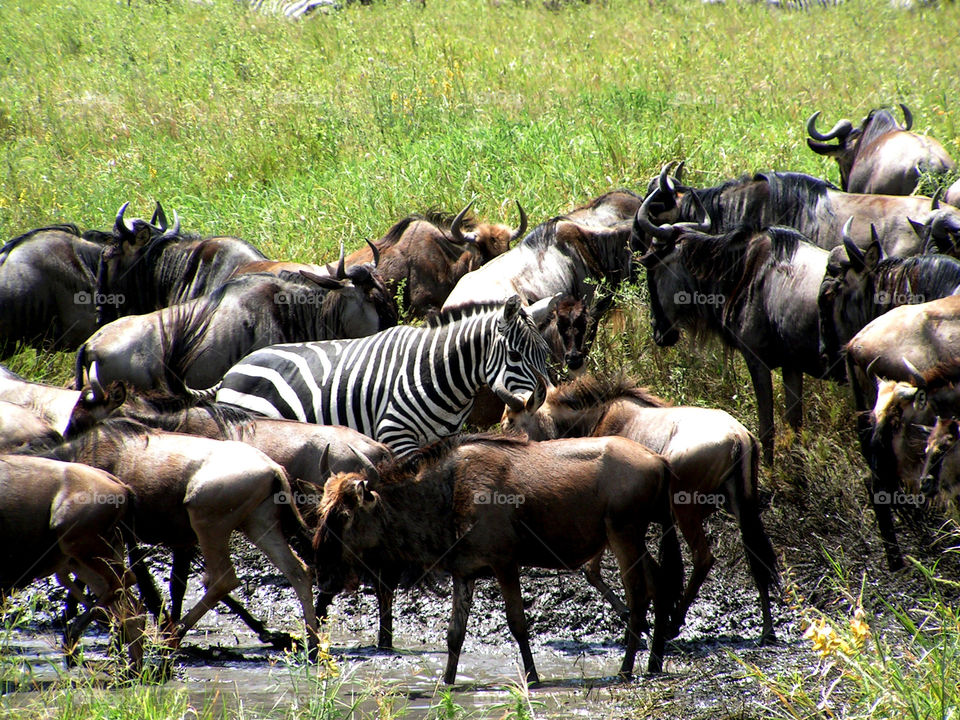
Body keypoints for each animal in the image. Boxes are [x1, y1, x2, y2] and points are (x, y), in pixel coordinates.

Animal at [214, 296, 551, 457]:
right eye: (515, 355)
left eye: (545, 353)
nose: (540, 400)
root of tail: (232, 370)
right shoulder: (395, 436)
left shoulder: (443, 439)